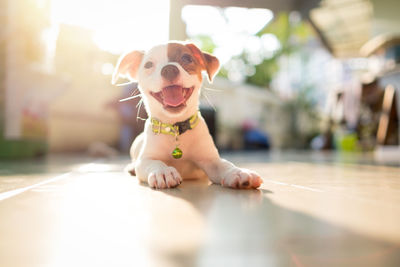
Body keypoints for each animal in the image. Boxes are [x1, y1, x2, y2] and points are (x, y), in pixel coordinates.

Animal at [112, 42, 262, 189]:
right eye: (148, 65)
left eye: (187, 58)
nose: (169, 69)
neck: (175, 128)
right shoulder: (145, 160)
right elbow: (154, 163)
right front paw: (163, 171)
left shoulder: (210, 160)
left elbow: (225, 164)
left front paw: (238, 172)